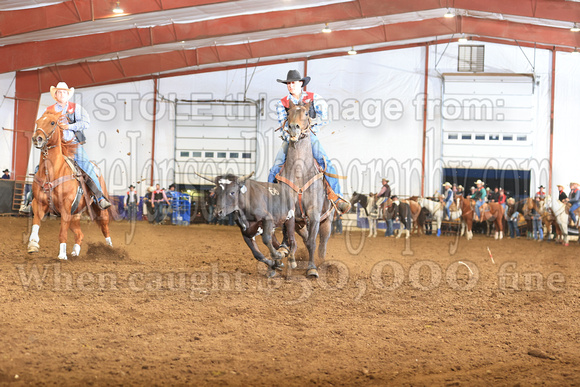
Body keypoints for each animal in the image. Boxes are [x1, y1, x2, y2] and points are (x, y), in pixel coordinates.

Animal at [28, 111, 114, 260]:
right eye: (37, 121)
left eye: (52, 122)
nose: (37, 138)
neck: (52, 173)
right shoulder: (39, 203)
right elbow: (36, 223)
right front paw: (33, 244)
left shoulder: (65, 209)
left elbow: (62, 233)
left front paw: (62, 255)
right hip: (75, 216)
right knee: (80, 234)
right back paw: (75, 252)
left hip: (101, 212)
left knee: (105, 228)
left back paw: (110, 249)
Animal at [276, 98, 336, 278]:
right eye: (288, 112)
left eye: (307, 113)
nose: (293, 127)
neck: (299, 172)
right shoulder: (290, 211)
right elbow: (292, 239)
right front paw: (290, 263)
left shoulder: (314, 213)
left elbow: (312, 243)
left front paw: (312, 269)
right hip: (300, 223)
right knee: (301, 237)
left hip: (327, 220)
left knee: (322, 243)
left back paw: (322, 262)